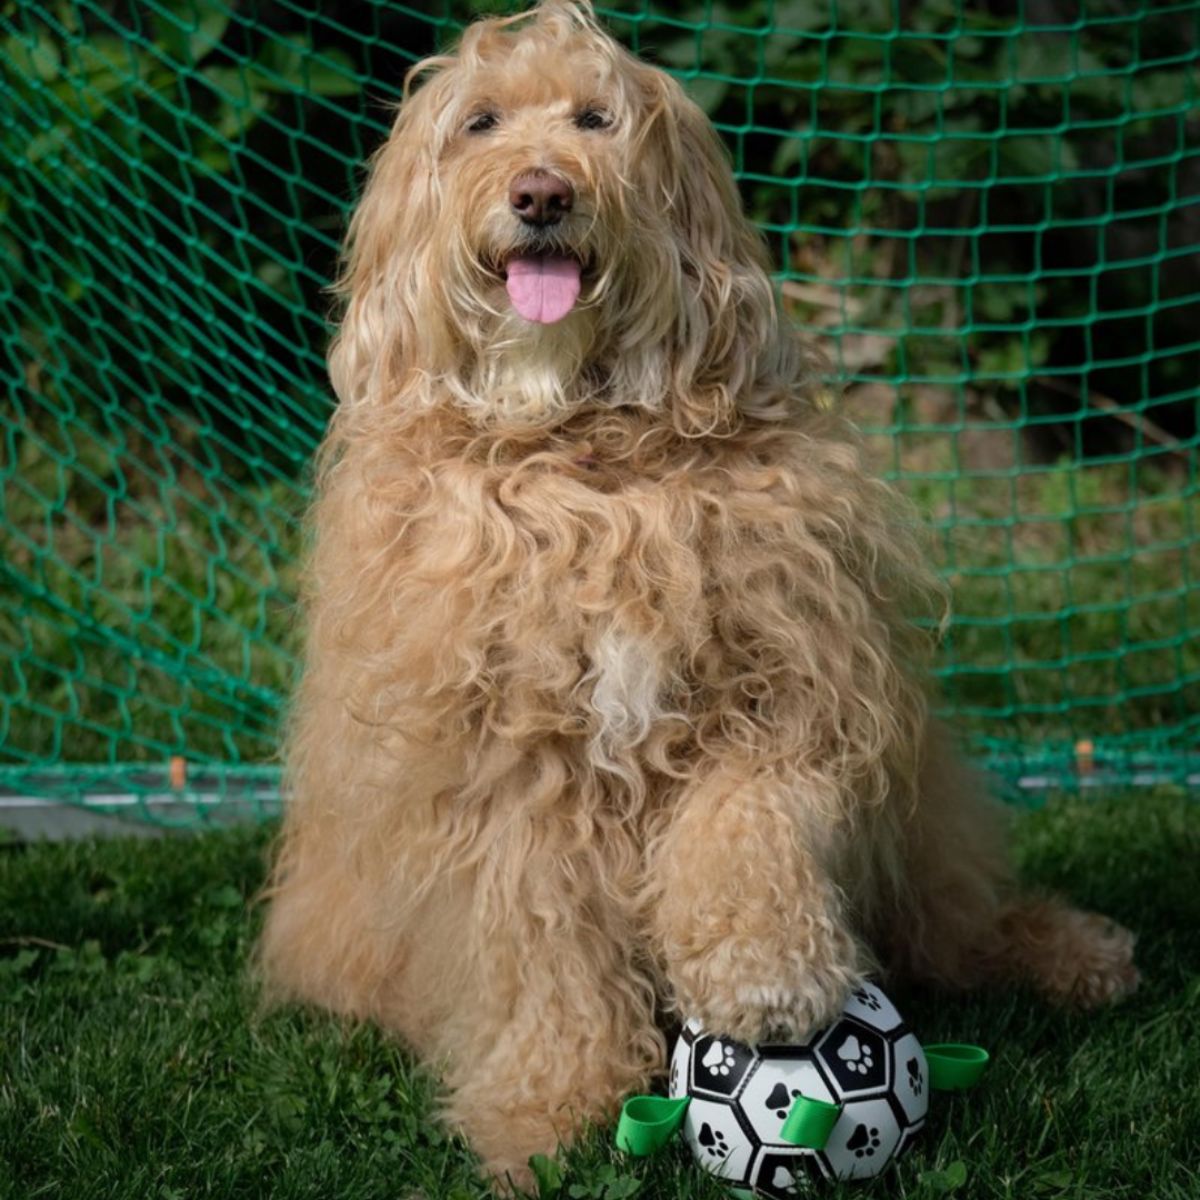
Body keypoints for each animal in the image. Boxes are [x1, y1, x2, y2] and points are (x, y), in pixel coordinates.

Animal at [258, 2, 1137, 1190]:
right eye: (480, 122)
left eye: (596, 118)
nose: (543, 193)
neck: (586, 460)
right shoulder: (506, 780)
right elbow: (541, 954)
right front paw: (551, 1111)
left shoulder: (792, 687)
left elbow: (746, 821)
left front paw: (766, 976)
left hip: (920, 824)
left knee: (955, 918)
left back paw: (1071, 953)